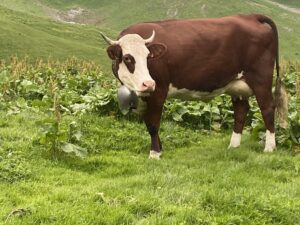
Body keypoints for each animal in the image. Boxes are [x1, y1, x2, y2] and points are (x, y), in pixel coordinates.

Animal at [101, 14, 288, 159]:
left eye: (148, 56)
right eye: (127, 58)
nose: (148, 83)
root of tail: (250, 16)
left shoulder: (159, 90)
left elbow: (153, 124)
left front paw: (154, 154)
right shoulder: (143, 96)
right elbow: (148, 122)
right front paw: (160, 149)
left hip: (261, 79)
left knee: (267, 108)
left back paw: (269, 148)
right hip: (237, 85)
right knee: (241, 111)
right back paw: (233, 146)